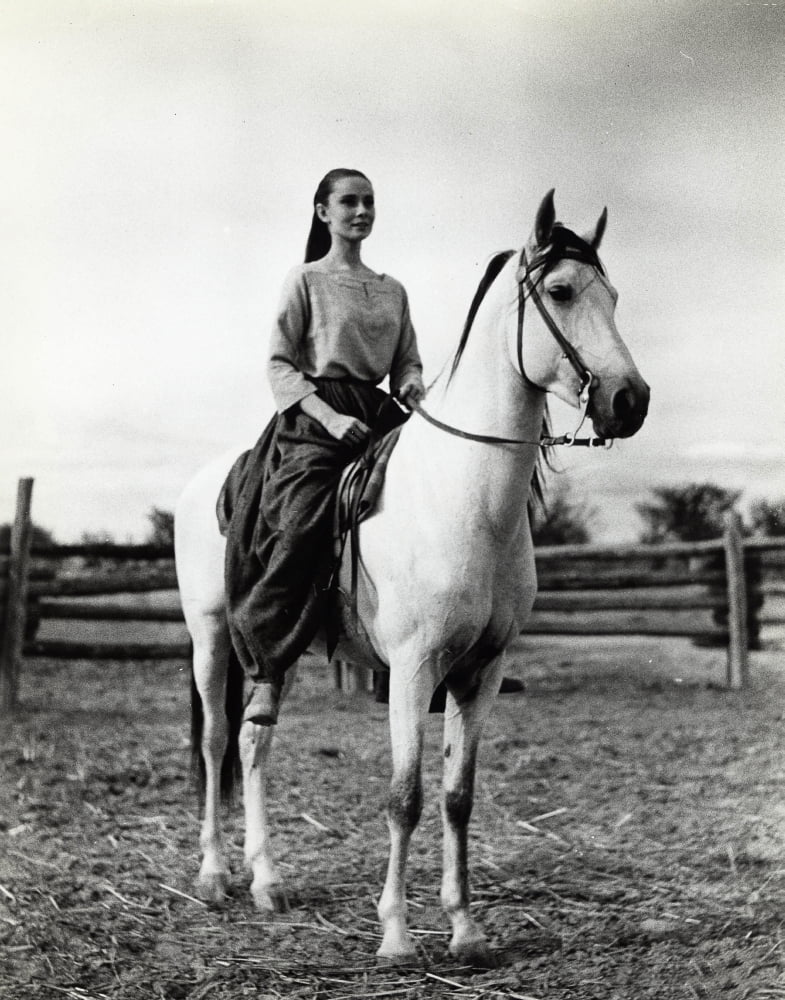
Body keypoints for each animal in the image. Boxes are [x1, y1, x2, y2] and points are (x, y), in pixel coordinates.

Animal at [174, 190, 650, 967]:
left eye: (613, 296)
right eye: (560, 291)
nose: (629, 401)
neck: (467, 497)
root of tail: (204, 482)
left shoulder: (482, 670)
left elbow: (458, 796)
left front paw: (465, 929)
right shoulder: (412, 667)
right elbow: (406, 796)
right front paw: (396, 934)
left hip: (280, 647)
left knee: (253, 742)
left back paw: (267, 880)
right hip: (213, 638)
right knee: (217, 741)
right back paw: (215, 875)